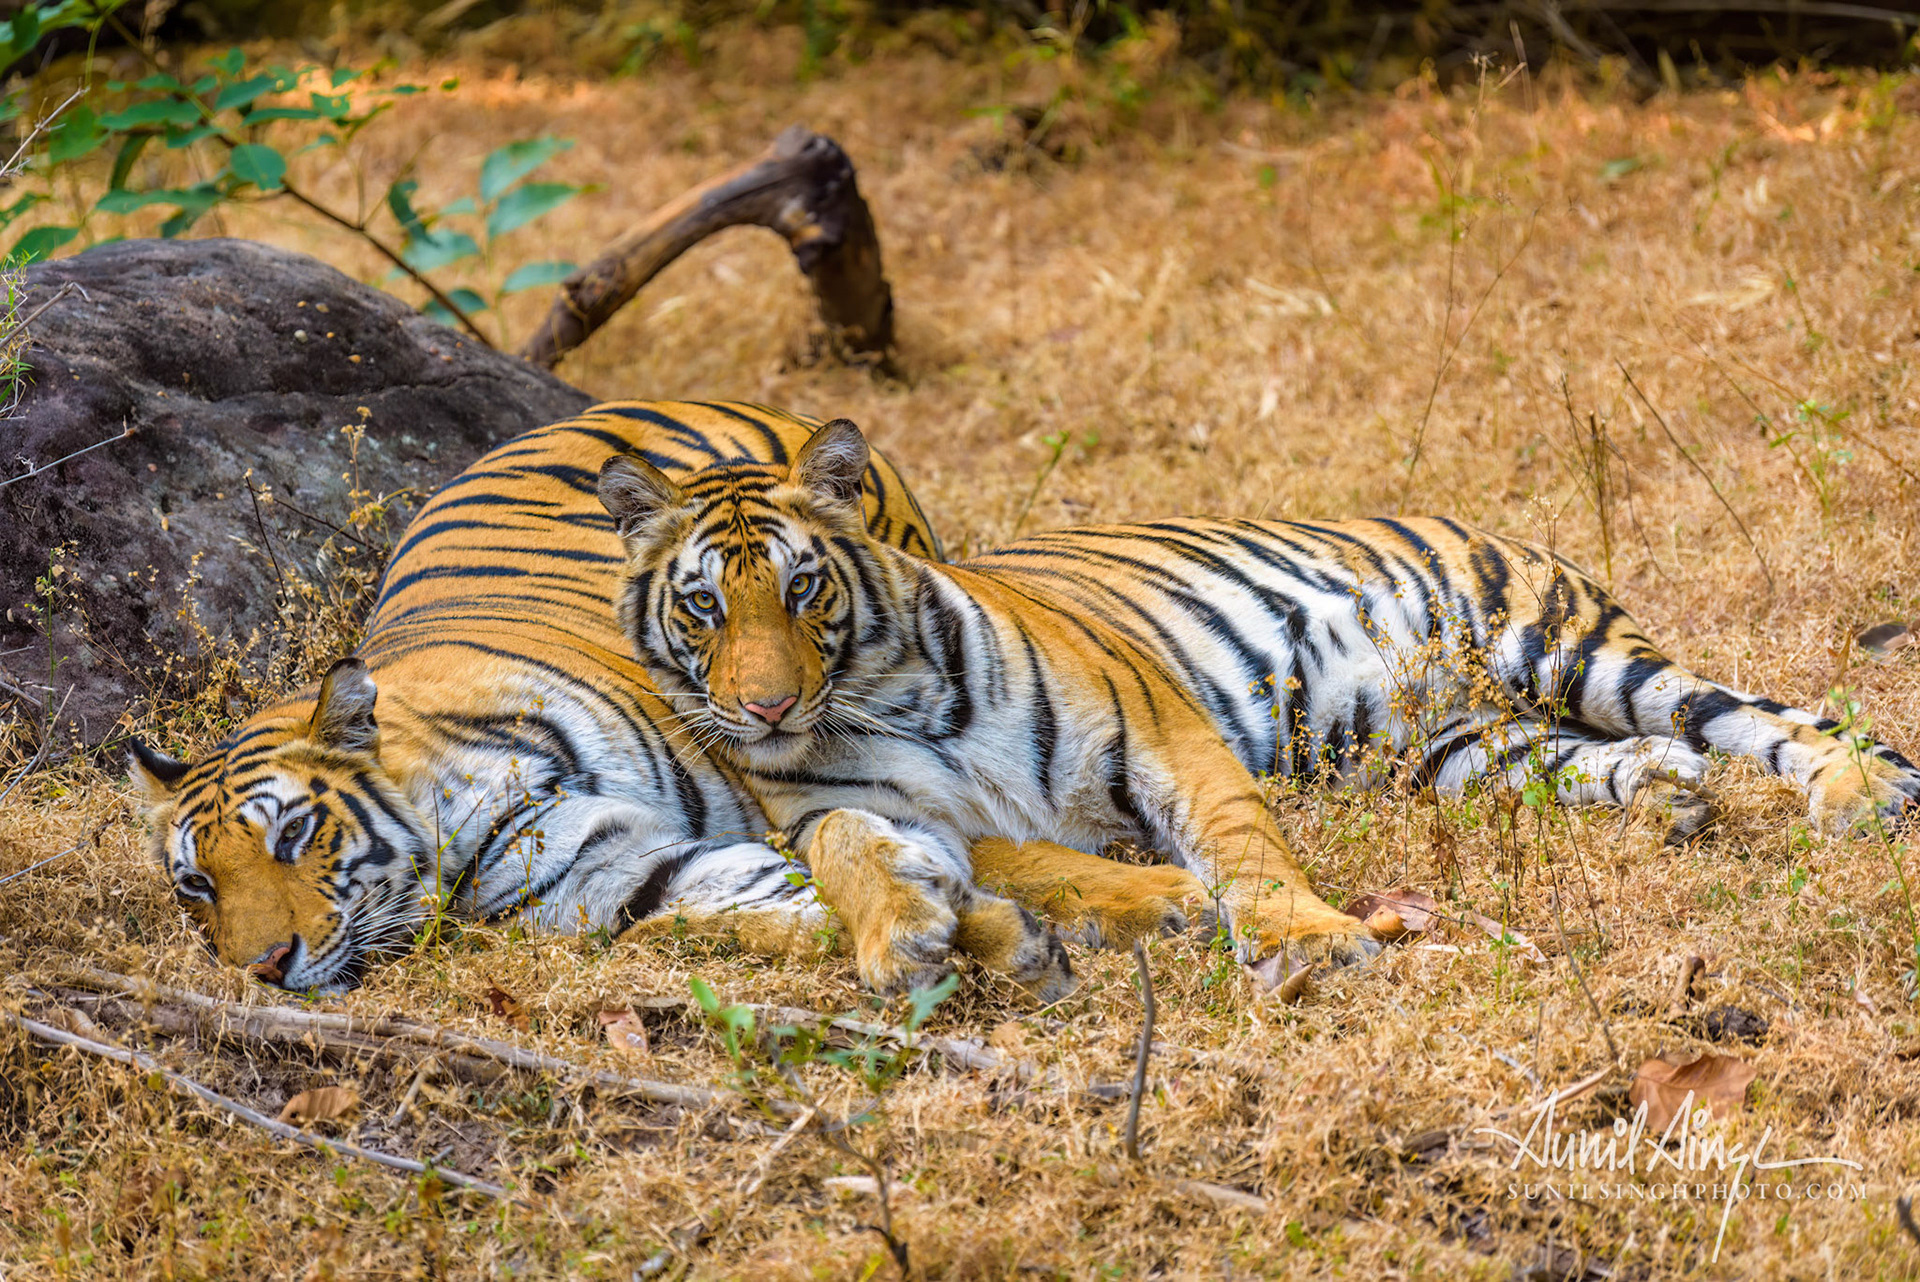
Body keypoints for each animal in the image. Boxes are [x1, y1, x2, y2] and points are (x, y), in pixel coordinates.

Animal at [129, 402, 1189, 997]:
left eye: (292, 836)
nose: (261, 970)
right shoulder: (623, 873)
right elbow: (744, 910)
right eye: (196, 888)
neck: (454, 826)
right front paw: (977, 931)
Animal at [598, 416, 1920, 993]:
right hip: (1451, 748)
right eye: (704, 606)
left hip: (1563, 646)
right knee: (1591, 758)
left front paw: (1301, 938)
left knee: (1753, 711)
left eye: (802, 588)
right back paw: (1663, 795)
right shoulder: (881, 811)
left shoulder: (1159, 730)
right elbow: (955, 862)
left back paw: (1858, 790)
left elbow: (1242, 849)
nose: (766, 709)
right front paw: (911, 934)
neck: (883, 694)